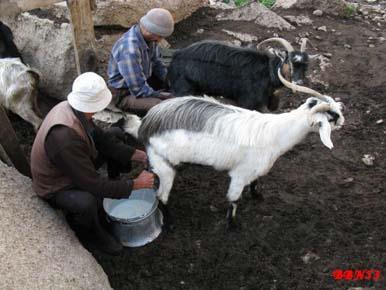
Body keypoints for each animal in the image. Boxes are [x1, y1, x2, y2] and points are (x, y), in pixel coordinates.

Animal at [131, 71, 346, 228]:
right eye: (332, 116)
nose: (343, 121)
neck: (275, 133)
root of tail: (146, 124)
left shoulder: (253, 170)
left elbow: (256, 182)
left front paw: (258, 196)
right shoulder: (239, 174)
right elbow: (234, 199)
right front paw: (232, 225)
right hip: (164, 166)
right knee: (161, 197)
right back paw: (169, 224)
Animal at [167, 38, 310, 110]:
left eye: (305, 66)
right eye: (289, 63)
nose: (298, 83)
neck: (268, 72)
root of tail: (176, 57)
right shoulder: (248, 101)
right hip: (184, 88)